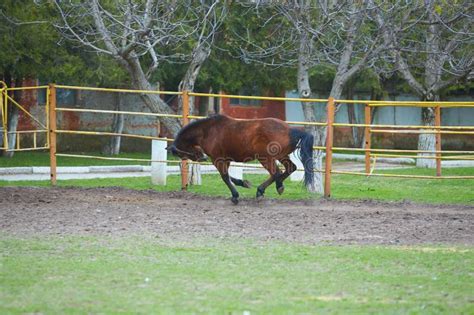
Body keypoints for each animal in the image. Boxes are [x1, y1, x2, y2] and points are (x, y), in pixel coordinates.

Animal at [168, 114, 314, 205]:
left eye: (180, 153)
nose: (202, 158)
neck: (208, 131)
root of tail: (290, 130)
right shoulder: (225, 159)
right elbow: (229, 177)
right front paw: (243, 183)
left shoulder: (217, 159)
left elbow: (225, 177)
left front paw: (235, 196)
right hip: (281, 156)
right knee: (289, 168)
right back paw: (268, 188)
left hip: (265, 158)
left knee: (276, 173)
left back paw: (271, 188)